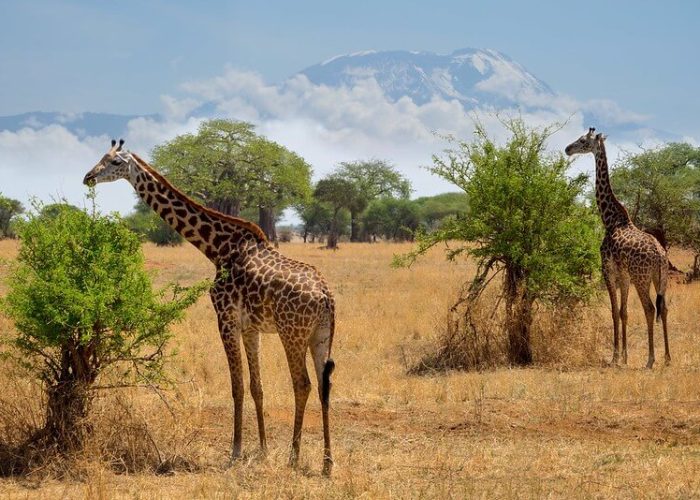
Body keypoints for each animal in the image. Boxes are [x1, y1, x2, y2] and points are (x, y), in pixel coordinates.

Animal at [84, 139, 336, 474]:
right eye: (101, 157)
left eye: (113, 162)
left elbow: (236, 387)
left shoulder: (225, 319)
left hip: (291, 333)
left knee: (302, 384)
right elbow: (257, 387)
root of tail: (325, 295)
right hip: (320, 335)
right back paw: (327, 463)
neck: (217, 248)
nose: (88, 177)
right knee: (323, 386)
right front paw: (263, 449)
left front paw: (236, 451)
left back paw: (294, 458)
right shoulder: (251, 327)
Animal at [568, 127, 668, 370]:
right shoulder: (624, 274)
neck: (610, 219)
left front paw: (614, 357)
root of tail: (660, 255)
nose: (567, 149)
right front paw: (624, 356)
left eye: (582, 140)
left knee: (650, 309)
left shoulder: (608, 269)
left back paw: (651, 360)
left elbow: (614, 311)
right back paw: (668, 358)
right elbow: (624, 312)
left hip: (642, 277)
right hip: (659, 278)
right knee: (664, 308)